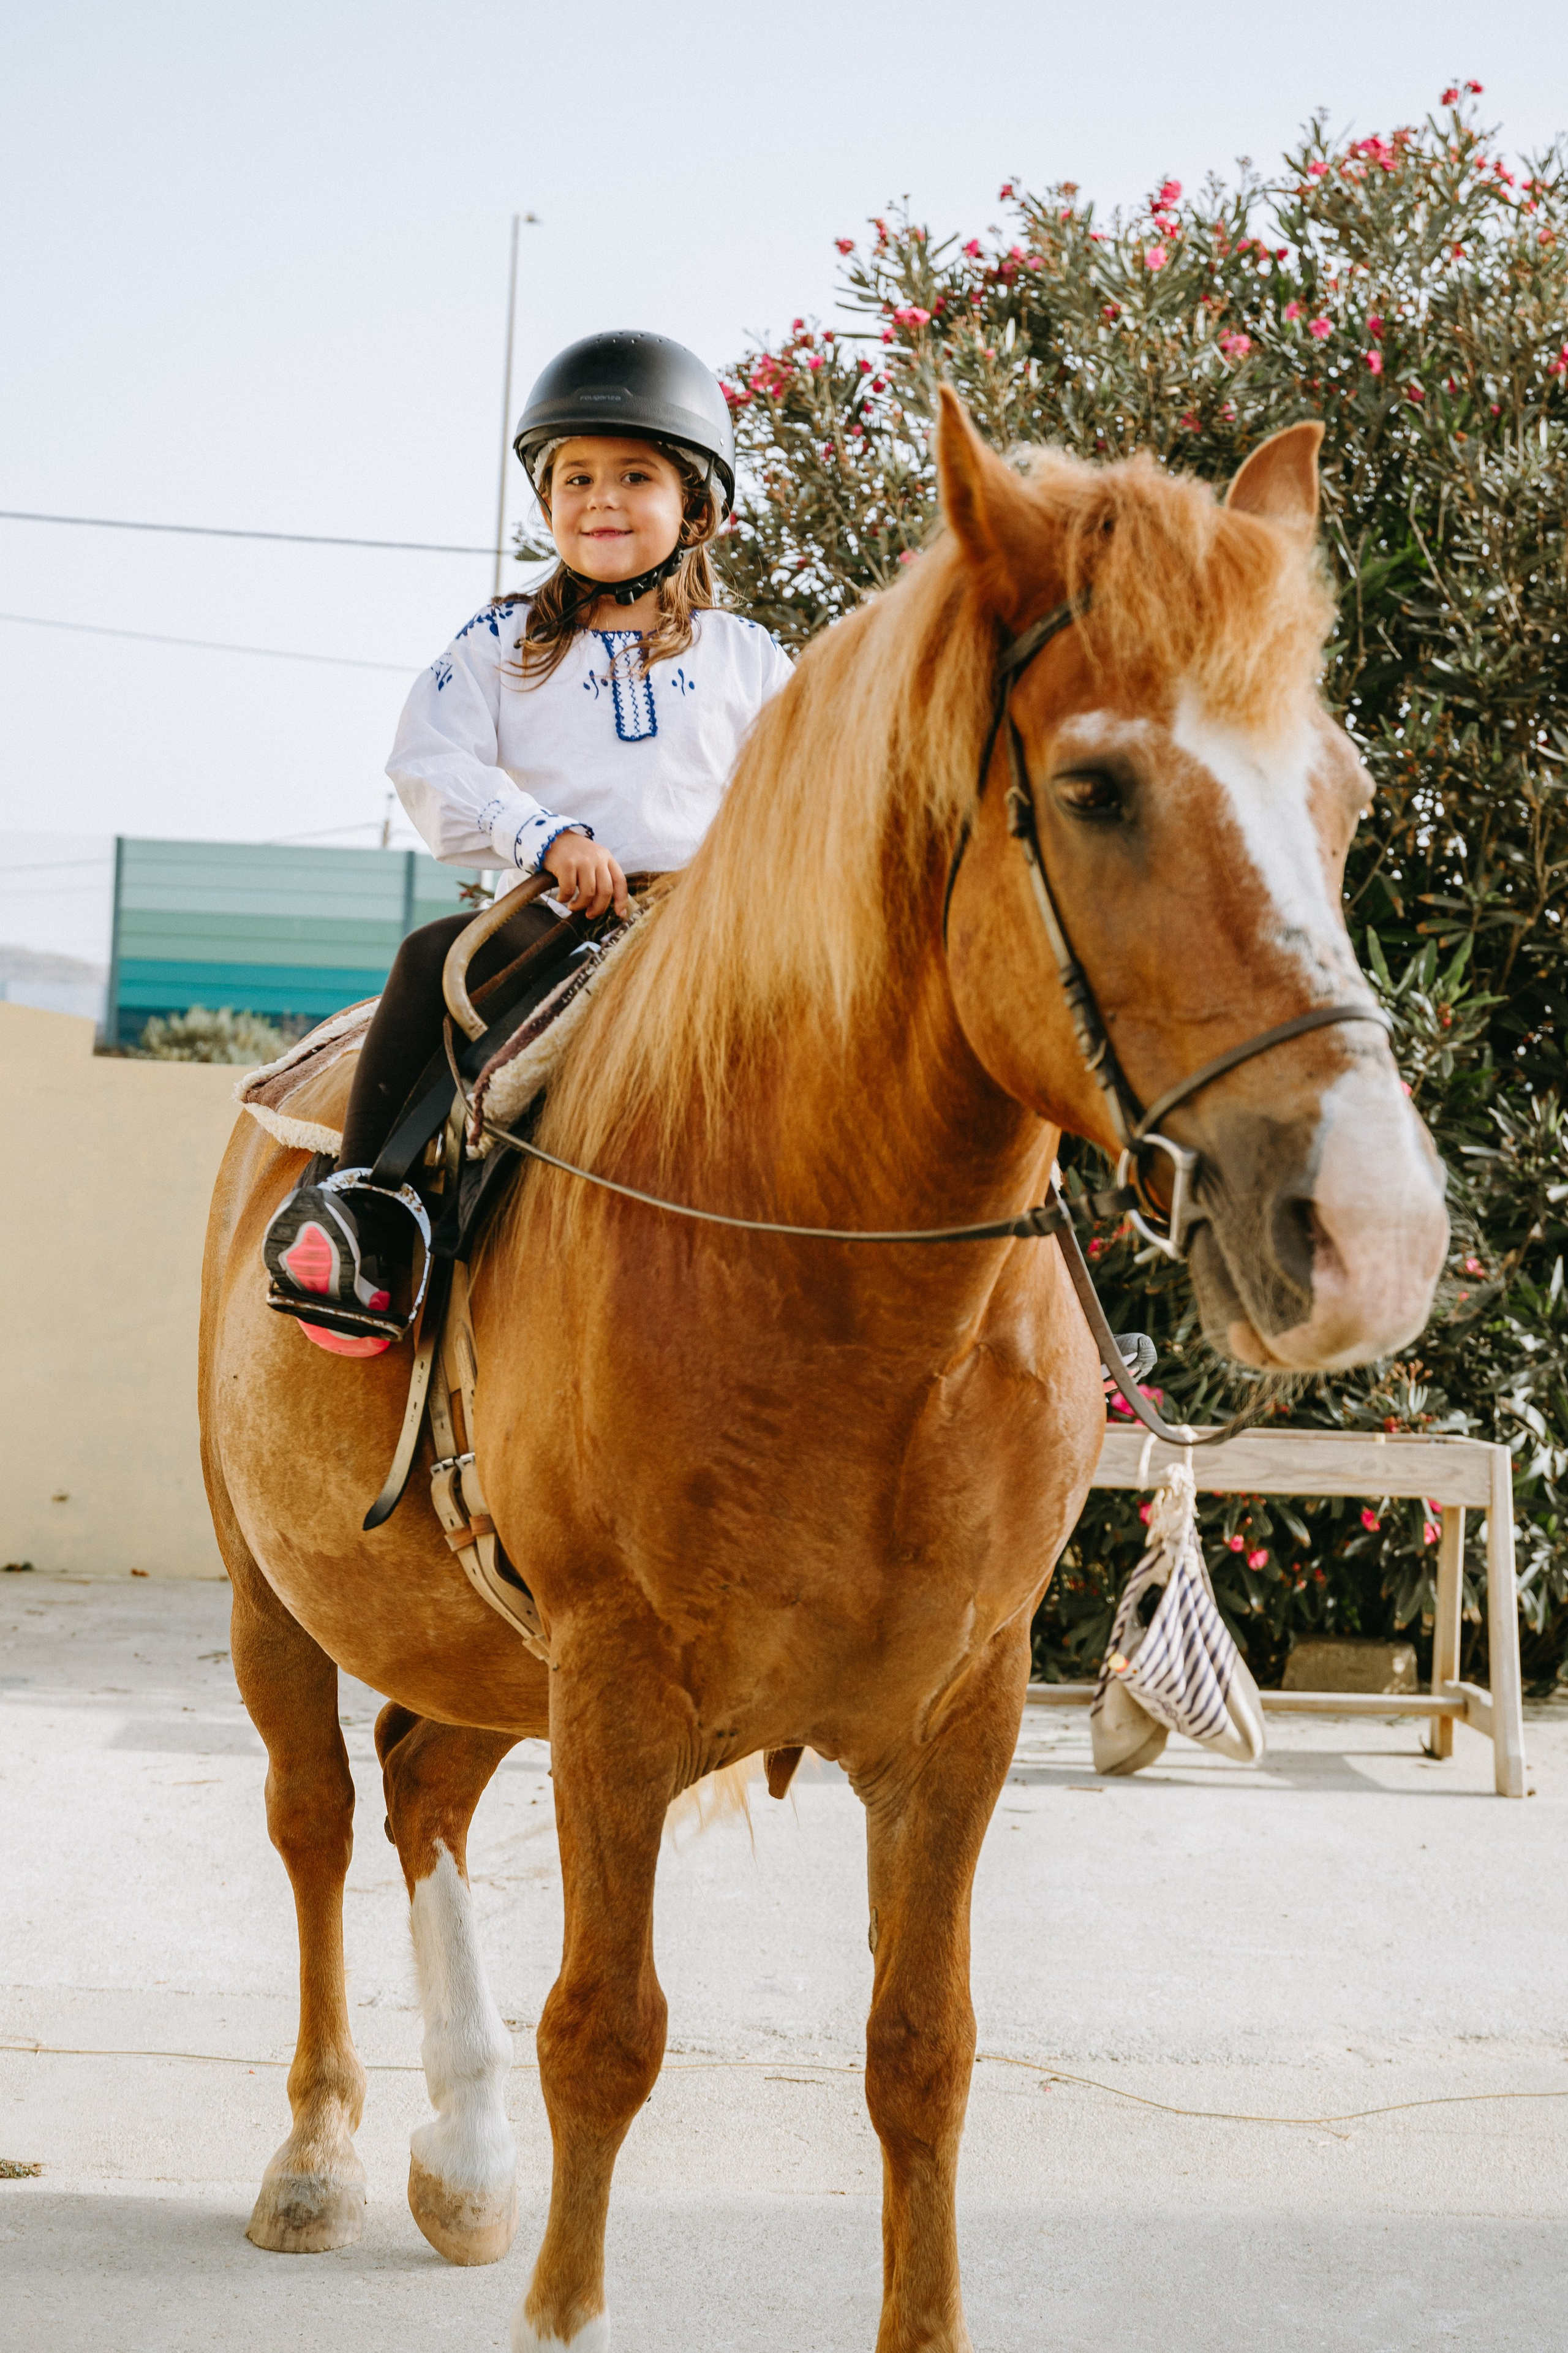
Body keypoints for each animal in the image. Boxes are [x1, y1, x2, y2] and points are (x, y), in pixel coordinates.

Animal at [198, 394, 1448, 2352]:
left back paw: (458, 2156)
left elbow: (920, 2052)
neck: (828, 1290)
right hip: (279, 1592)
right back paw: (322, 2153)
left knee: (420, 1790)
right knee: (321, 1817)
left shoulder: (960, 1717)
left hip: (479, 1647)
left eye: (1344, 794)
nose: (1373, 1234)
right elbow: (606, 2038)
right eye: (1093, 789)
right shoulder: (616, 1698)